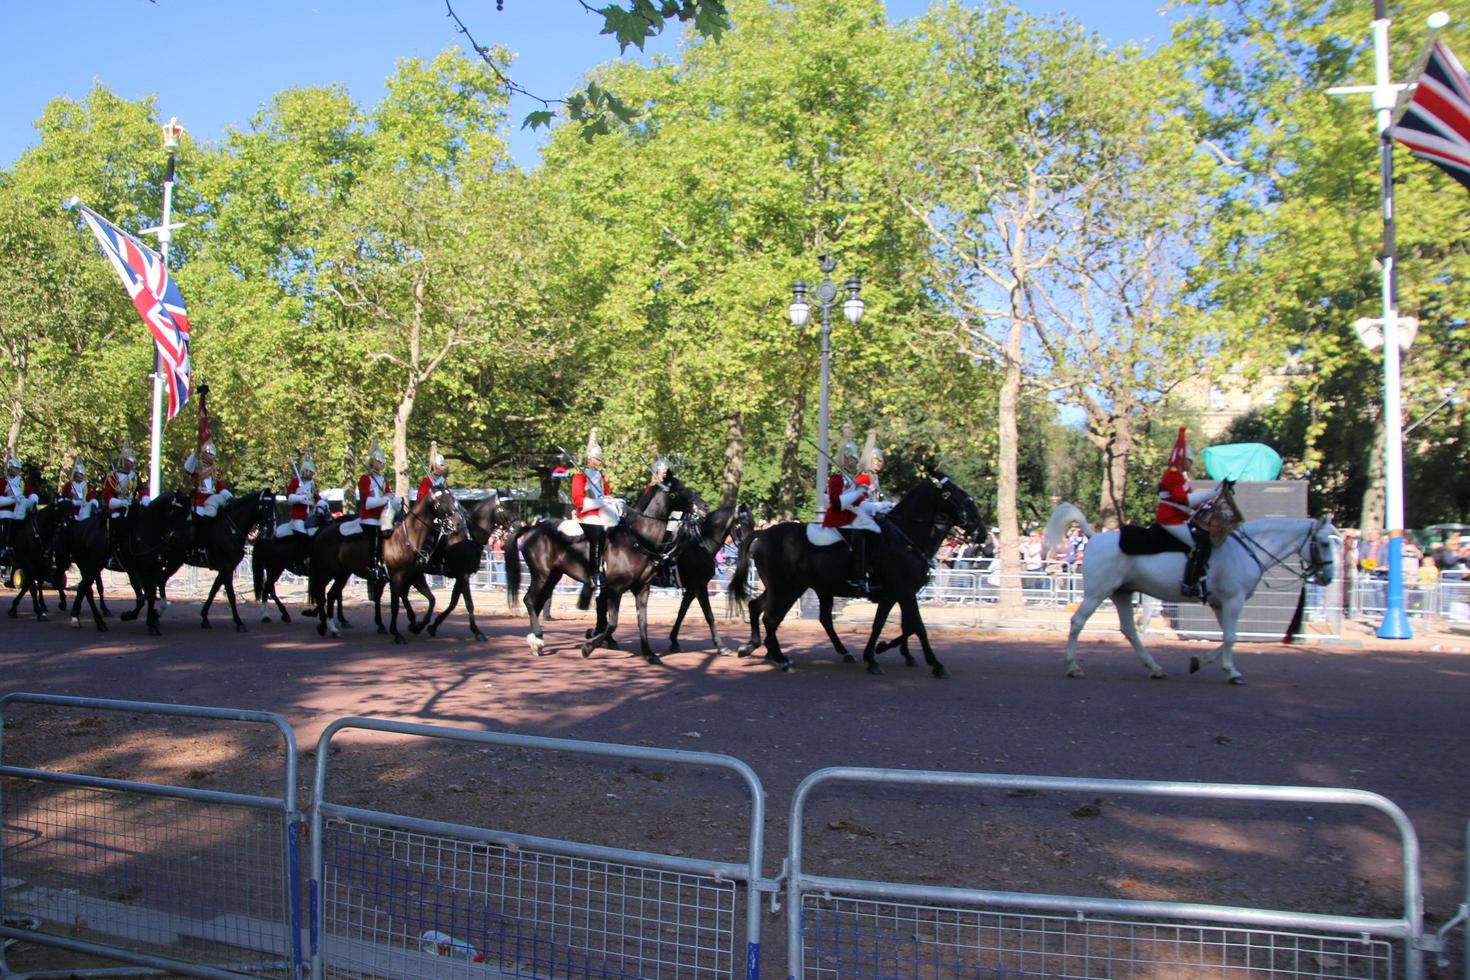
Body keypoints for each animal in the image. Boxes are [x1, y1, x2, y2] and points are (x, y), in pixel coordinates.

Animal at [508, 481, 702, 667]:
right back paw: (537, 638)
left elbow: (642, 622)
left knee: (538, 603)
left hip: (553, 576)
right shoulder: (615, 589)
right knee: (529, 600)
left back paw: (535, 640)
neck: (638, 539)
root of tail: (531, 529)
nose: (703, 506)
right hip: (541, 575)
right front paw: (588, 647)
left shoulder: (642, 589)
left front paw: (649, 654)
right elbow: (612, 623)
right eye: (678, 490)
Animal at [726, 478, 981, 678]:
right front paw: (935, 664)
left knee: (761, 608)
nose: (980, 533)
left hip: (789, 588)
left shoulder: (893, 595)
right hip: (787, 589)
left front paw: (877, 654)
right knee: (771, 618)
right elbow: (917, 626)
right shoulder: (905, 591)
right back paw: (780, 658)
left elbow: (889, 625)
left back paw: (756, 648)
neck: (905, 538)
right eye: (958, 496)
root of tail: (763, 534)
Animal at [1040, 505, 1340, 681]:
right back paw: (1073, 665)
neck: (1245, 550)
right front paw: (1232, 671)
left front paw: (1201, 661)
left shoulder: (1221, 604)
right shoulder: (1233, 600)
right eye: (1325, 543)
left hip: (1122, 593)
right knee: (1078, 622)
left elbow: (1227, 637)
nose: (1328, 577)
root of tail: (1093, 537)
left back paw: (1155, 668)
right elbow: (1231, 637)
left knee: (1129, 630)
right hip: (1097, 593)